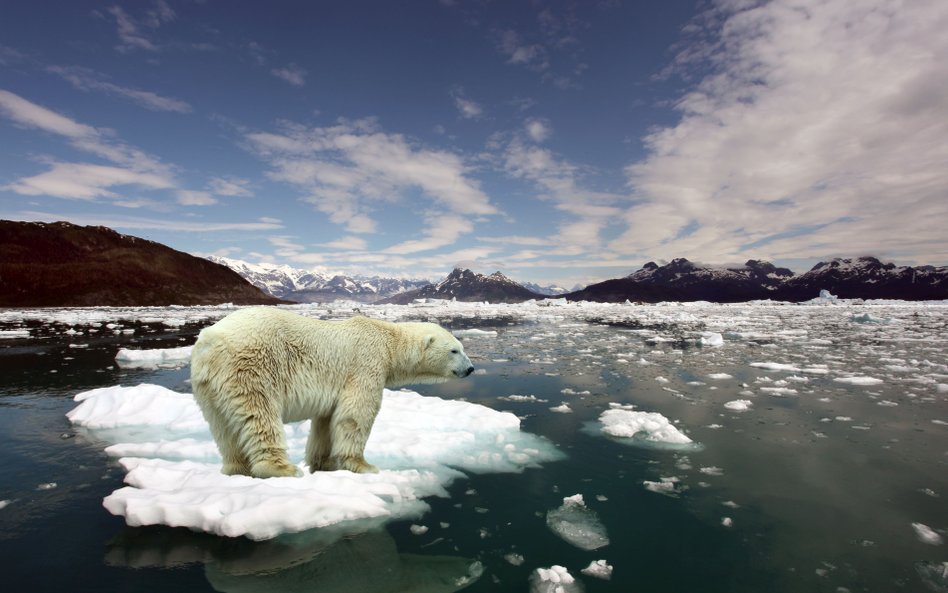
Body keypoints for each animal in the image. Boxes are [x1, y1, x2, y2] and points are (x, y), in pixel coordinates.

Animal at [191, 308, 474, 478]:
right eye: (454, 350)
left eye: (462, 347)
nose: (470, 369)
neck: (388, 341)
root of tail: (210, 342)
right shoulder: (366, 364)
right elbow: (356, 414)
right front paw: (364, 465)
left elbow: (326, 422)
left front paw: (323, 464)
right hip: (252, 367)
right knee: (260, 415)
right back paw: (282, 468)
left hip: (208, 387)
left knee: (223, 427)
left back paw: (236, 469)